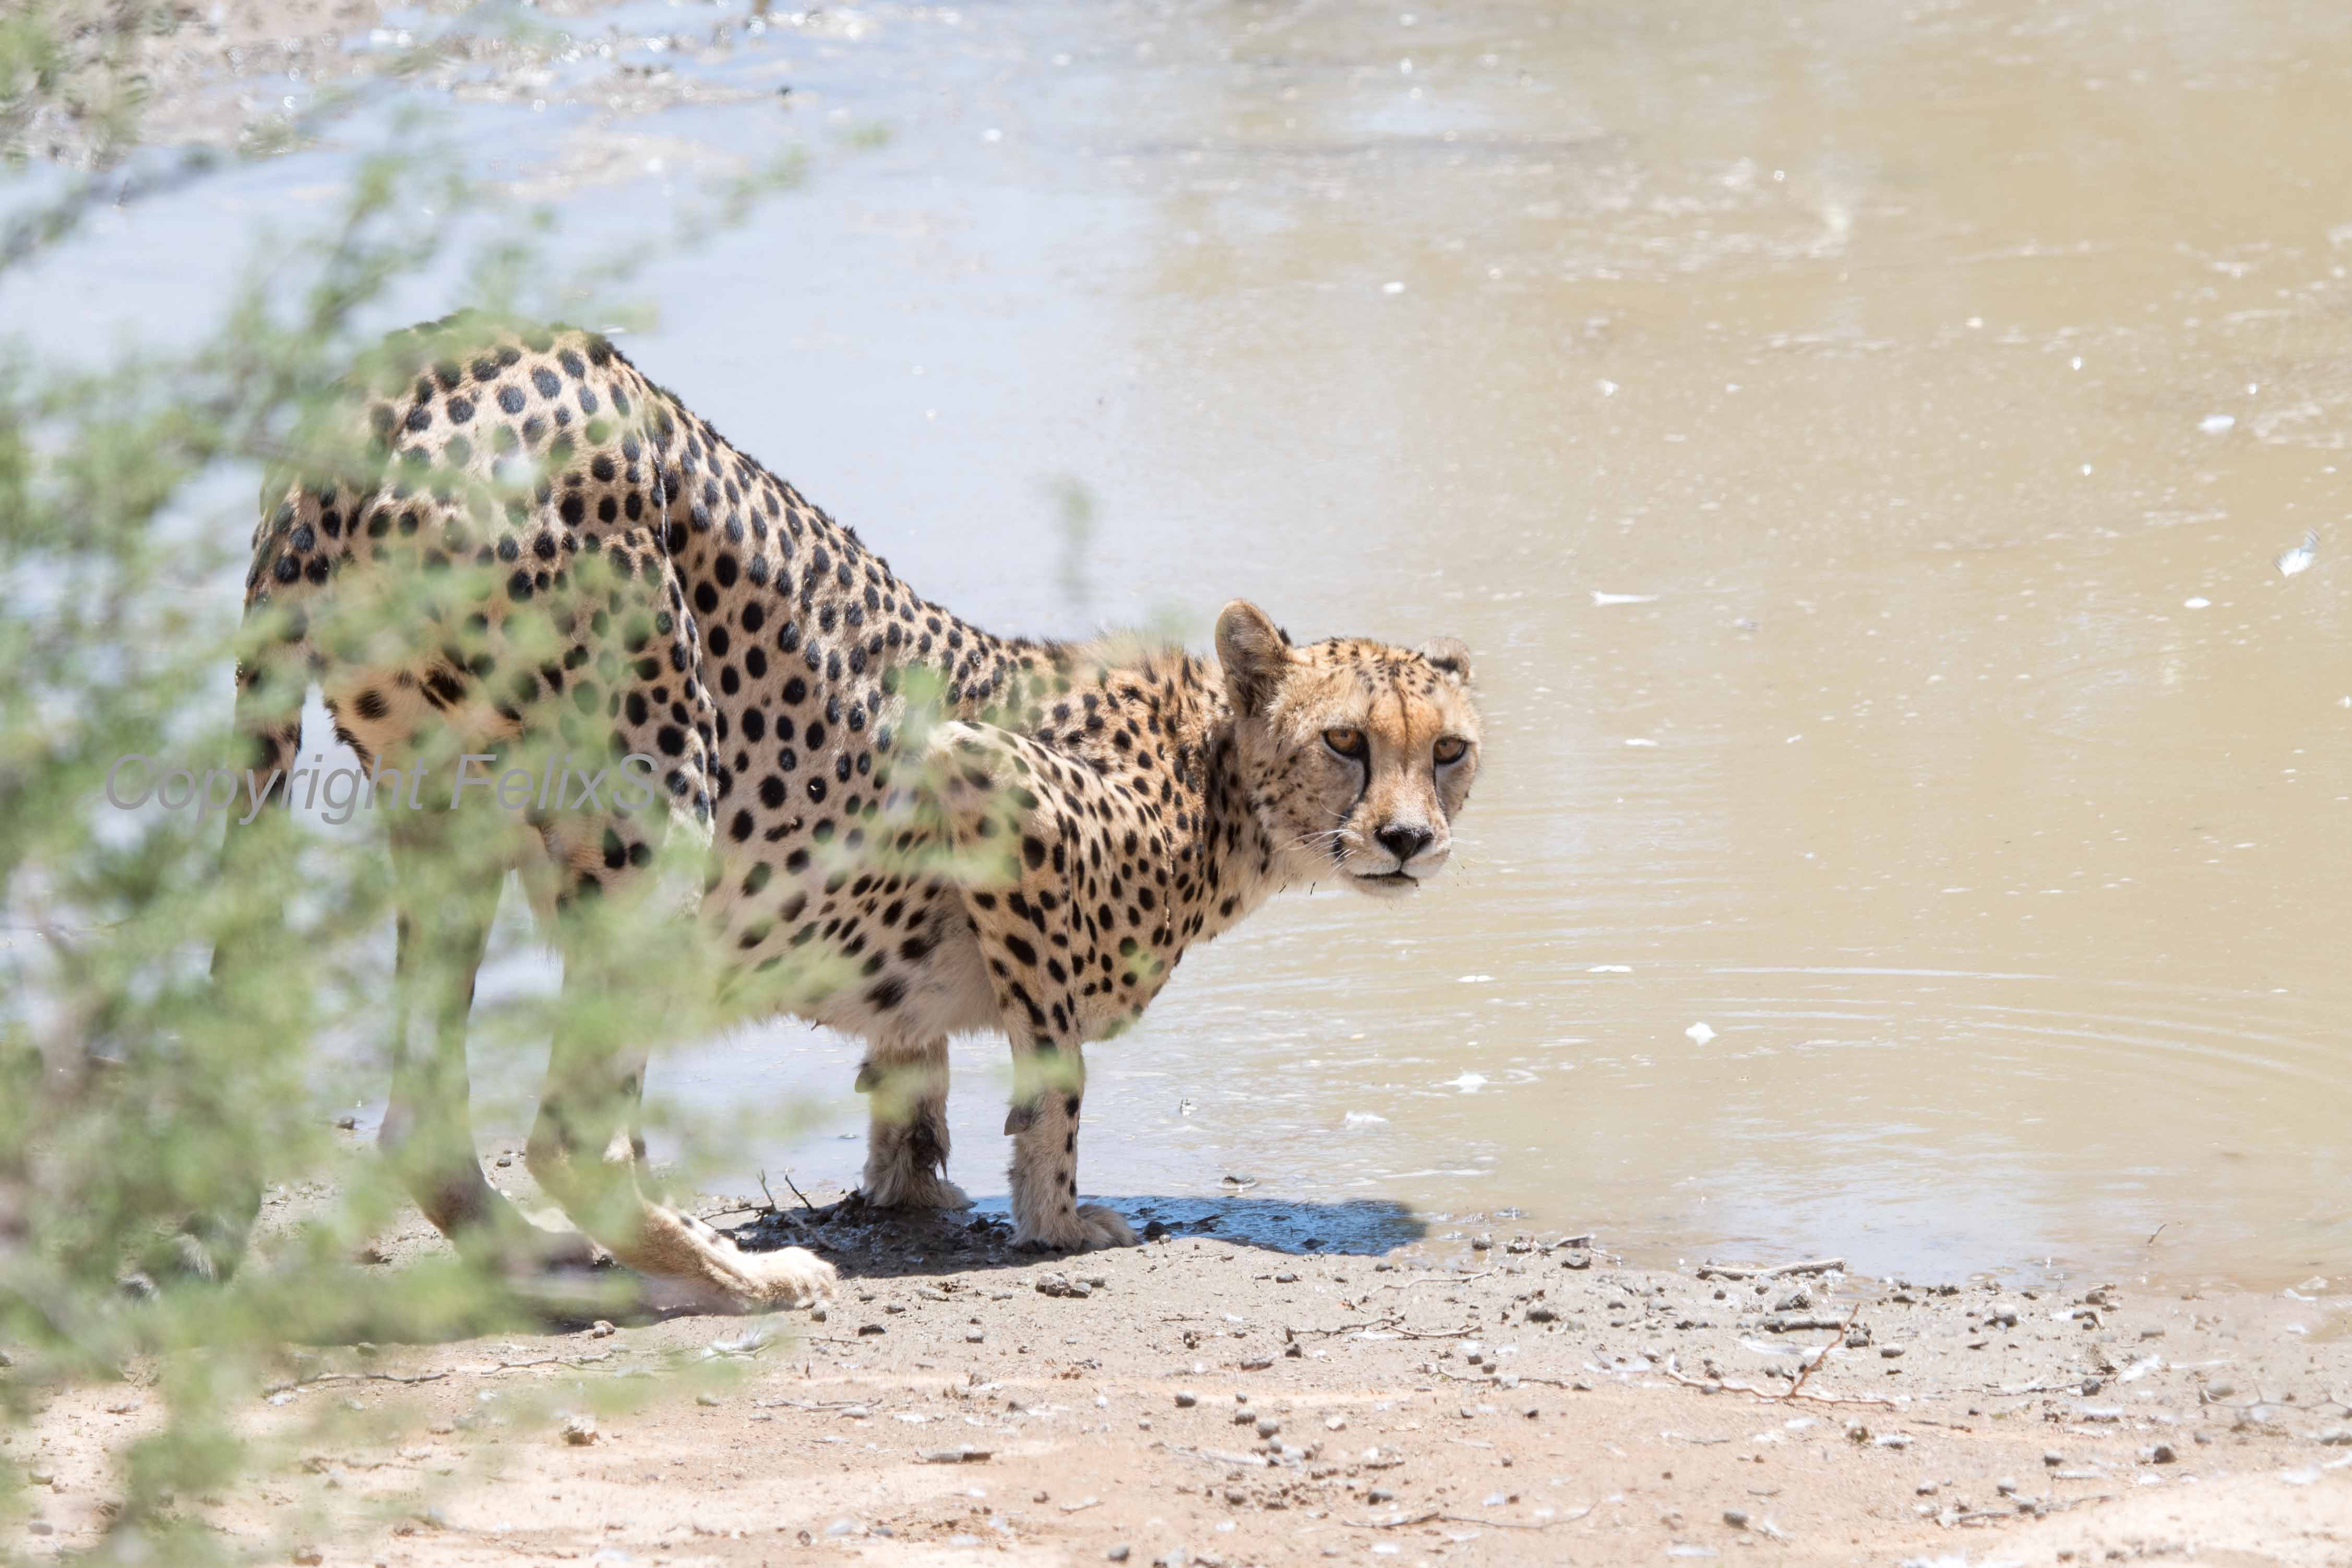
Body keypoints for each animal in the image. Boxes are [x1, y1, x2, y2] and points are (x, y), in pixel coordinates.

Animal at [216, 315, 1467, 1316]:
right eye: (1345, 743)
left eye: (1448, 751)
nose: (1409, 841)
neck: (1214, 776)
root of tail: (410, 371)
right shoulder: (987, 777)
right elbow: (1053, 1064)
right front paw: (1058, 1218)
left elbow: (912, 1063)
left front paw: (909, 1184)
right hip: (657, 794)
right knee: (574, 1132)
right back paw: (735, 1276)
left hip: (445, 813)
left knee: (422, 1118)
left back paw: (534, 1256)